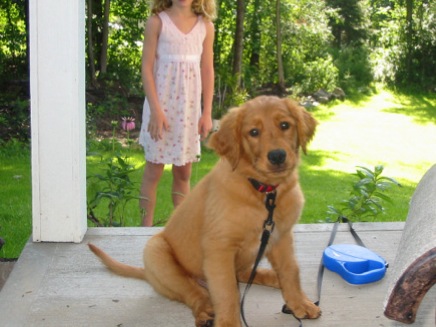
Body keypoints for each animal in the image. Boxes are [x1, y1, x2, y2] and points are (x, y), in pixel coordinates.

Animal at [87, 95, 320, 327]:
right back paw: (205, 312)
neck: (263, 191)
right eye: (253, 132)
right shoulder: (219, 248)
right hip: (156, 252)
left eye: (285, 125)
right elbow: (227, 292)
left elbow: (290, 271)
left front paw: (300, 303)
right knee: (194, 292)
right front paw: (229, 324)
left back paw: (271, 277)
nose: (278, 156)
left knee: (242, 274)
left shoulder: (281, 237)